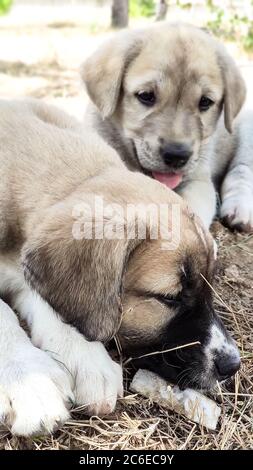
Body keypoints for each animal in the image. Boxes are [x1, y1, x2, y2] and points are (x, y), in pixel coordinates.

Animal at [0, 99, 240, 436]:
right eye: (169, 298)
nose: (233, 365)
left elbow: (48, 299)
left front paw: (85, 357)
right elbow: (3, 315)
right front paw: (30, 381)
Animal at [81, 22, 253, 231]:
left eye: (205, 102)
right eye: (146, 96)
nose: (177, 156)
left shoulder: (198, 180)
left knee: (242, 170)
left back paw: (239, 209)